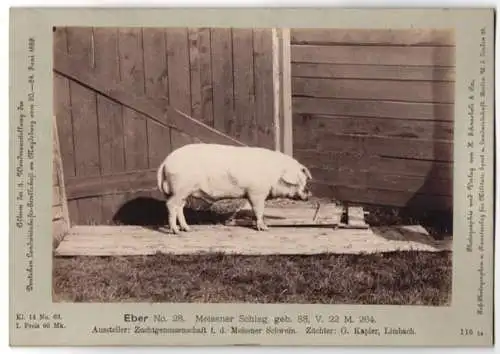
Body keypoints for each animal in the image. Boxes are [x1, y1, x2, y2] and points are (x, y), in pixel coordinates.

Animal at [156, 142, 312, 234]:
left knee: (179, 208)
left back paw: (186, 229)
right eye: (302, 182)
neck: (274, 174)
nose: (309, 193)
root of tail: (165, 162)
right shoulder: (256, 192)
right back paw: (175, 231)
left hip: (183, 191)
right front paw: (264, 228)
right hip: (180, 188)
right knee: (170, 205)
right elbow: (258, 210)